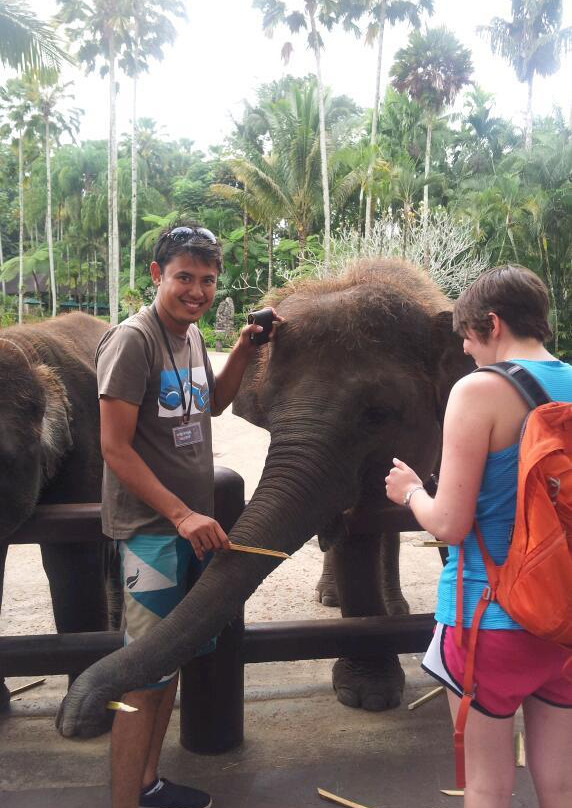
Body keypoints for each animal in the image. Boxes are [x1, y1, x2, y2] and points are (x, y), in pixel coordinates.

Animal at [57, 258, 474, 740]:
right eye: (270, 413)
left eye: (377, 414)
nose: (75, 719)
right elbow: (355, 533)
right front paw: (368, 695)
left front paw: (374, 694)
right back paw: (334, 598)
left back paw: (394, 608)